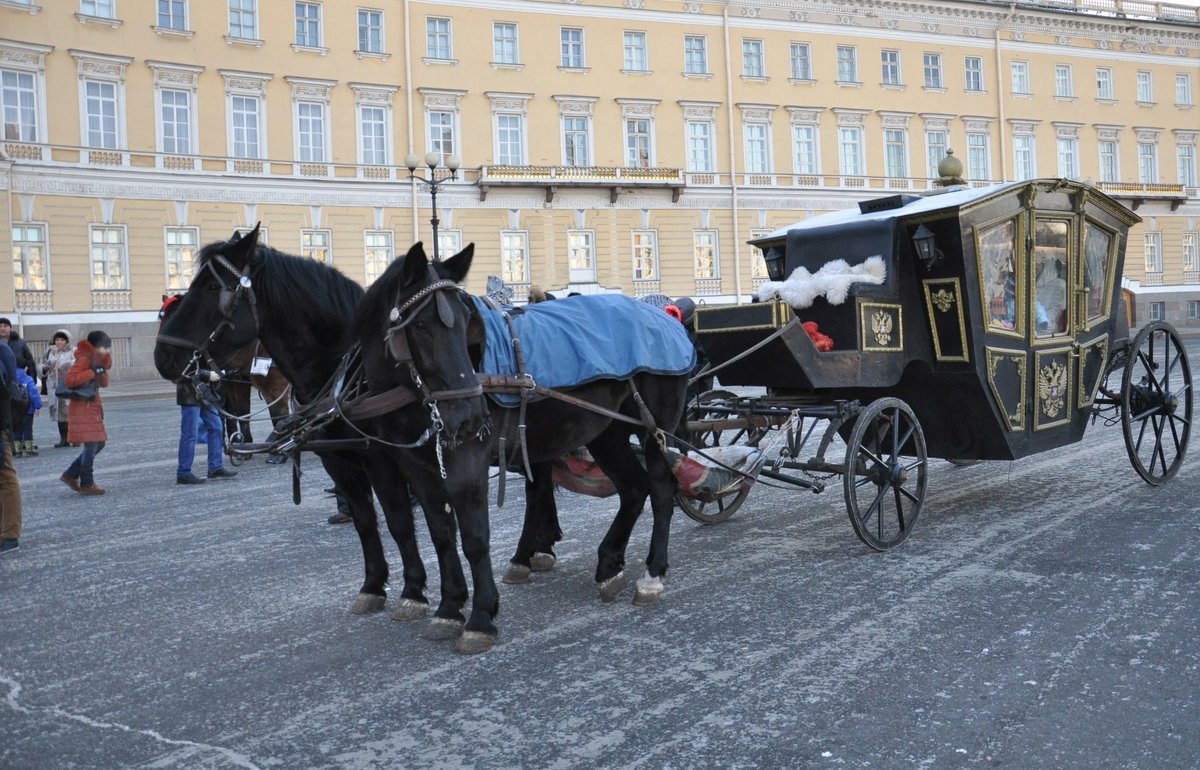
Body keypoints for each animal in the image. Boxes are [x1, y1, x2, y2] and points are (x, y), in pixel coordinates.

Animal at [156, 225, 501, 652]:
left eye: (207, 286)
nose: (163, 356)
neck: (348, 371)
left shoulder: (388, 458)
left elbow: (410, 522)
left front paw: (428, 596)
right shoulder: (343, 459)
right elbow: (374, 522)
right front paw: (382, 587)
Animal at [352, 241, 696, 604]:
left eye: (464, 322)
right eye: (419, 326)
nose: (470, 415)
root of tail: (666, 317)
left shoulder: (464, 462)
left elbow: (473, 532)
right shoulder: (410, 464)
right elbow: (436, 531)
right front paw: (447, 600)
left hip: (654, 428)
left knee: (661, 488)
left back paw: (652, 572)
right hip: (607, 433)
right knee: (633, 487)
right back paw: (608, 562)